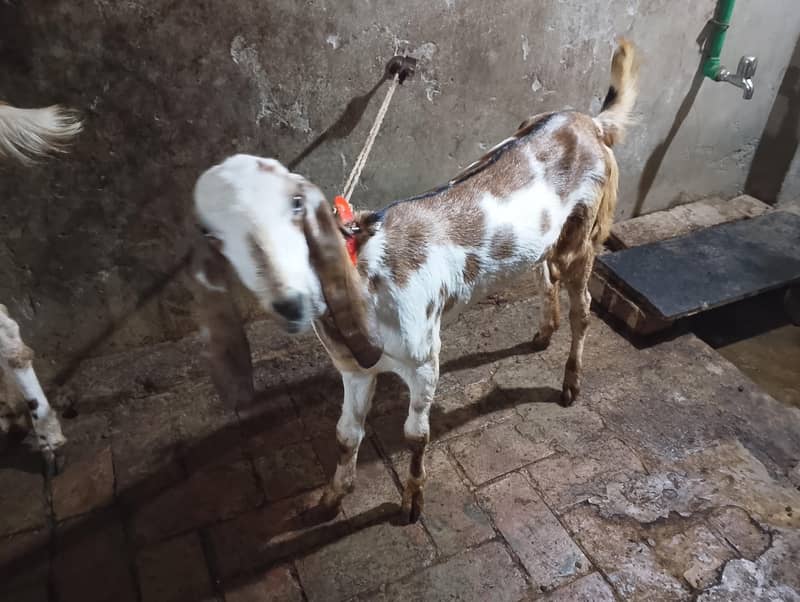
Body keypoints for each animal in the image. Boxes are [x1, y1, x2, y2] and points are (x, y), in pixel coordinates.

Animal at [191, 40, 638, 522]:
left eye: (296, 205)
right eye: (216, 233)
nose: (290, 303)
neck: (366, 275)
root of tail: (587, 122)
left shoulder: (424, 359)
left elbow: (415, 434)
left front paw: (411, 503)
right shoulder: (351, 368)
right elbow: (346, 433)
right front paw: (332, 498)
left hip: (584, 232)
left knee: (583, 307)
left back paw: (570, 383)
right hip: (545, 238)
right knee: (544, 273)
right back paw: (543, 332)